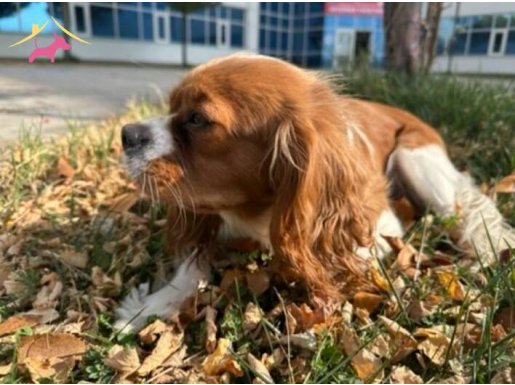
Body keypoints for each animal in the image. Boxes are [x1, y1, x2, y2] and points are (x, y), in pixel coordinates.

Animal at [114, 53, 515, 330]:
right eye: (171, 108)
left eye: (197, 119)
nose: (126, 134)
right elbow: (195, 261)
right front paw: (153, 304)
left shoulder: (376, 235)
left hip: (415, 158)